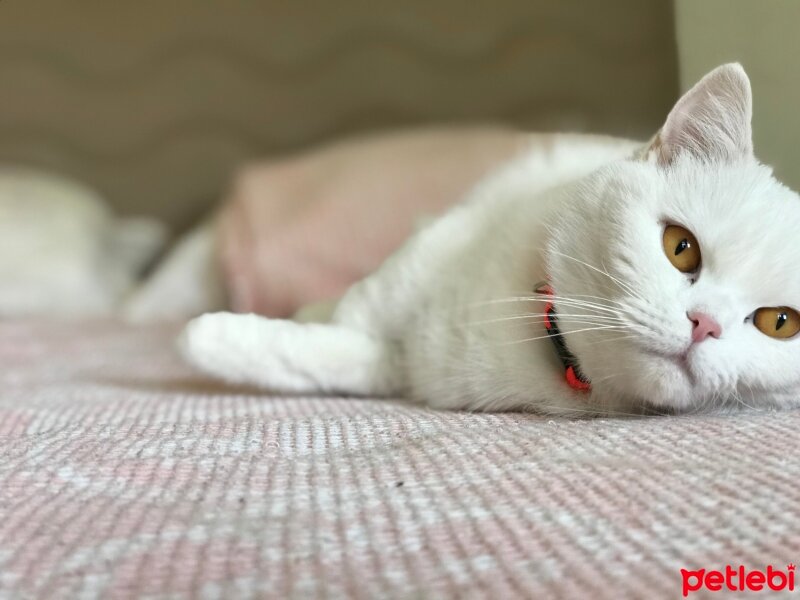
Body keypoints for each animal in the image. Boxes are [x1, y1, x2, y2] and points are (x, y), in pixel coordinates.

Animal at [178, 63, 800, 414]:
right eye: (680, 246)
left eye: (781, 323)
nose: (705, 324)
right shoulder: (434, 246)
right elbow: (359, 314)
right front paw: (214, 336)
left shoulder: (407, 367)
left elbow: (343, 360)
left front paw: (223, 339)